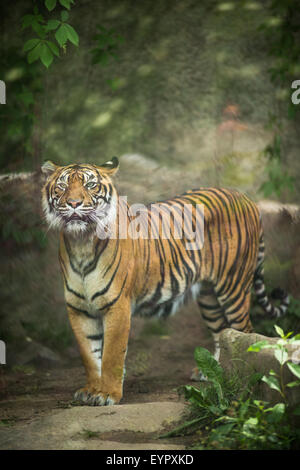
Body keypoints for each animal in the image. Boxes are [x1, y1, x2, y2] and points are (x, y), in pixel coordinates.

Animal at [40, 157, 288, 404]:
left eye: (90, 185)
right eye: (62, 186)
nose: (74, 203)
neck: (81, 242)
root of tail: (246, 199)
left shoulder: (117, 306)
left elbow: (111, 355)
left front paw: (107, 394)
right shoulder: (78, 308)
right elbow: (90, 356)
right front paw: (91, 390)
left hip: (233, 287)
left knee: (245, 333)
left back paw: (240, 378)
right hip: (209, 297)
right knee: (223, 333)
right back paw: (215, 373)